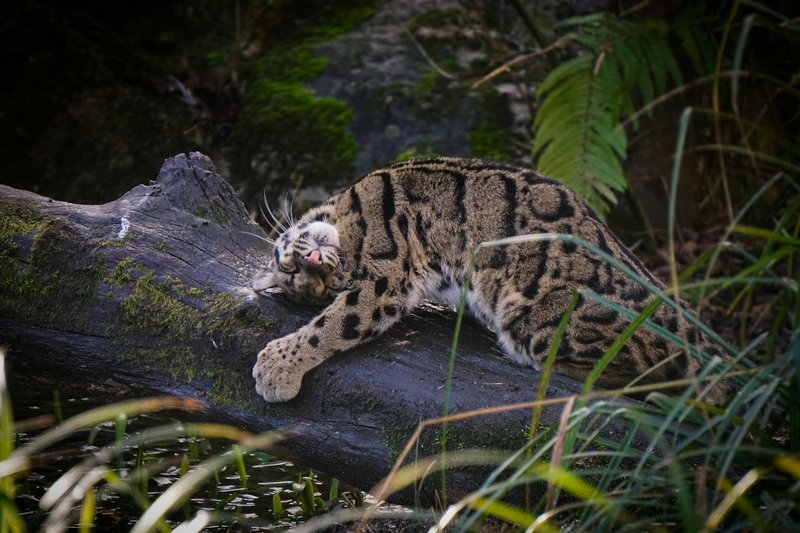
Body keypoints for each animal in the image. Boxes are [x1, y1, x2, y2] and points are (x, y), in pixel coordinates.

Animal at [252, 157, 731, 403]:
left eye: (302, 274)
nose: (320, 265)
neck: (344, 212)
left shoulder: (385, 272)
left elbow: (334, 323)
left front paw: (276, 365)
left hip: (535, 320)